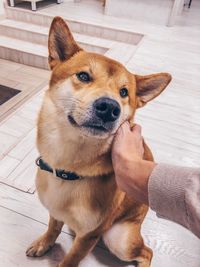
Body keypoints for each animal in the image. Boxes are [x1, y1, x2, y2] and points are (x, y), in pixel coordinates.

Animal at [25, 17, 171, 267]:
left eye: (124, 92)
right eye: (83, 76)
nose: (109, 107)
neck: (69, 168)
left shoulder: (90, 235)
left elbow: (71, 259)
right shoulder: (55, 211)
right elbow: (53, 228)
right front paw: (44, 243)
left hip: (118, 238)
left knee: (147, 251)